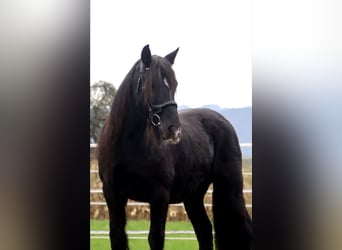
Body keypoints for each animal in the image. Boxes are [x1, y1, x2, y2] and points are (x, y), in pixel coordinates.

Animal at [97, 45, 252, 250]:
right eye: (152, 84)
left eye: (174, 84)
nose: (174, 130)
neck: (129, 146)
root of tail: (222, 120)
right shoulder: (112, 195)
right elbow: (117, 237)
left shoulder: (159, 196)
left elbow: (155, 238)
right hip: (193, 195)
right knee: (204, 230)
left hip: (230, 187)